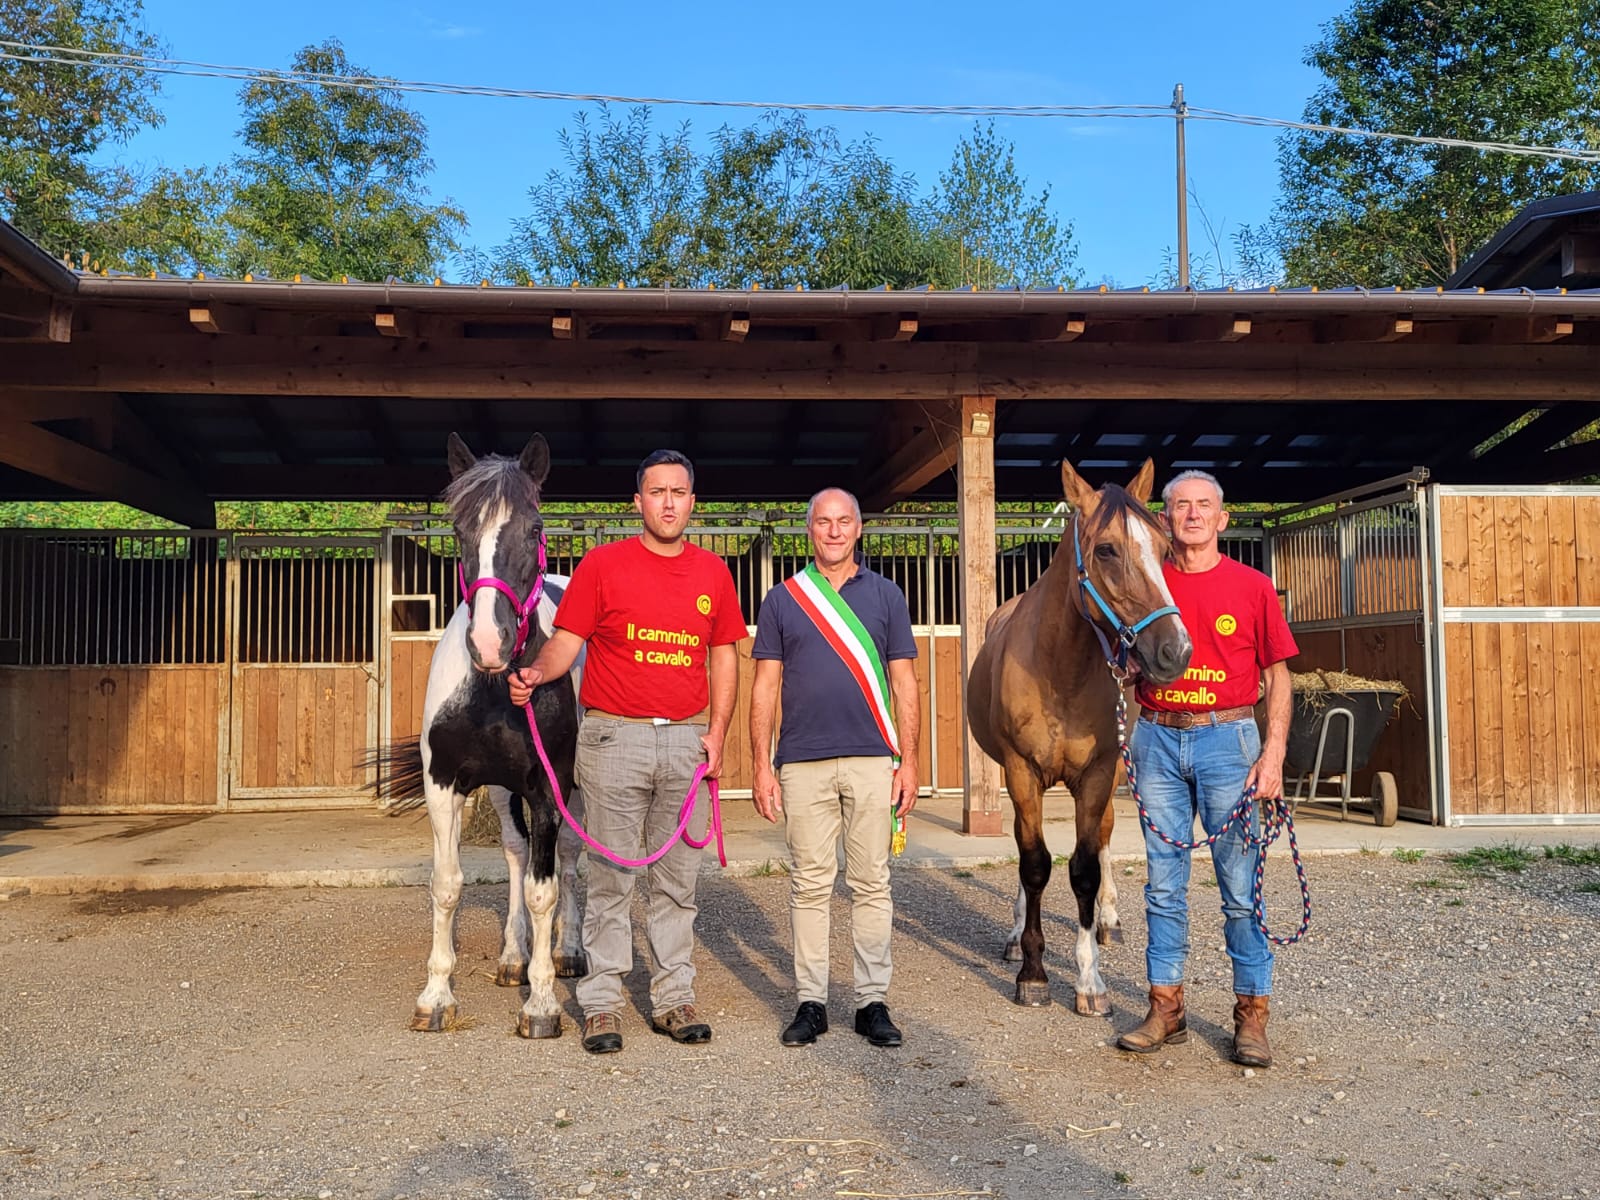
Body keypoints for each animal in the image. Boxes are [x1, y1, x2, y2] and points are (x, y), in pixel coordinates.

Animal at [374, 435, 588, 1043]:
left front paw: (541, 1005)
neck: (494, 689)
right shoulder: (445, 784)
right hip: (499, 789)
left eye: (536, 528)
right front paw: (436, 997)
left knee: (569, 860)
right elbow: (448, 885)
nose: (490, 643)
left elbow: (546, 889)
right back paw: (514, 956)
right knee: (517, 853)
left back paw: (567, 951)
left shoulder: (547, 788)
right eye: (459, 530)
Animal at [960, 457, 1190, 1017]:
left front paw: (1090, 981)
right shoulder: (1020, 771)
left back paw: (1109, 921)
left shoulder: (1099, 772)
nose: (1175, 651)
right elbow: (1034, 863)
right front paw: (1032, 972)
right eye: (1106, 549)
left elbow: (1084, 866)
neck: (1059, 669)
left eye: (1164, 547)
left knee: (1103, 838)